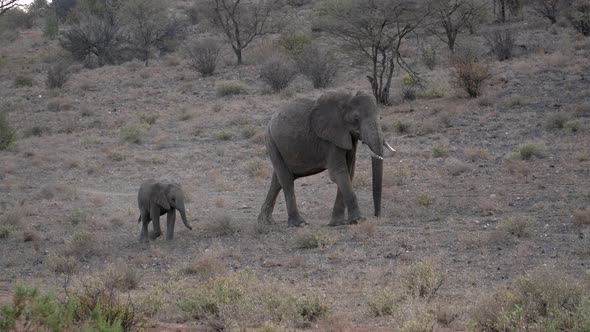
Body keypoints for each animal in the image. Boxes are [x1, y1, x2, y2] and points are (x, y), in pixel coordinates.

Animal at [258, 90, 394, 226]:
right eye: (356, 118)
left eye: (380, 117)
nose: (376, 216)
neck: (346, 100)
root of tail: (271, 120)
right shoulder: (329, 140)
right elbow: (339, 173)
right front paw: (358, 220)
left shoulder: (347, 137)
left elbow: (349, 172)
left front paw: (337, 223)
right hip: (271, 141)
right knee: (286, 179)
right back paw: (299, 223)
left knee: (277, 180)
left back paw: (265, 221)